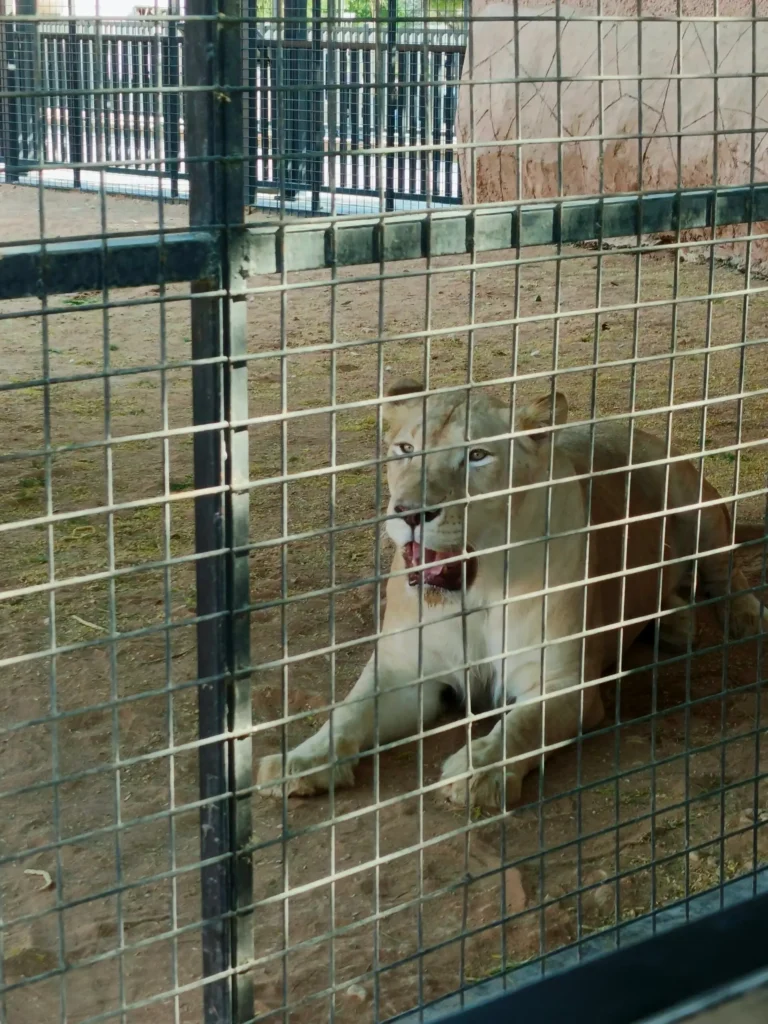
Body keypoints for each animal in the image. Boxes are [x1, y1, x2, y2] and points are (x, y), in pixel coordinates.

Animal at [257, 382, 763, 809]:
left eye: (477, 456)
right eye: (406, 449)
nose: (411, 514)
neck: (475, 593)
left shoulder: (563, 681)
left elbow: (519, 726)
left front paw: (477, 773)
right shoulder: (403, 670)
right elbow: (348, 712)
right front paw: (297, 763)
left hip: (695, 503)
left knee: (725, 572)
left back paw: (742, 616)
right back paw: (675, 623)